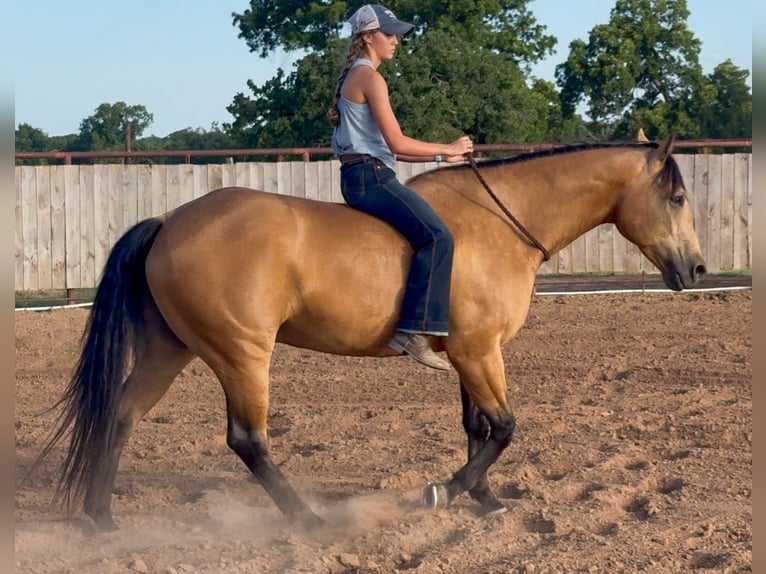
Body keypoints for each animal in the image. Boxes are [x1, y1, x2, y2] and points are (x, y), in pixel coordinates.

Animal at [42, 136, 706, 532]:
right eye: (676, 196)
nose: (696, 270)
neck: (499, 225)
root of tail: (169, 220)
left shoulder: (468, 351)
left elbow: (478, 426)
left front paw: (486, 500)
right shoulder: (478, 351)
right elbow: (505, 426)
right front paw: (446, 490)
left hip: (170, 348)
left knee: (122, 413)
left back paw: (101, 516)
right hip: (242, 353)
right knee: (247, 439)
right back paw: (307, 519)